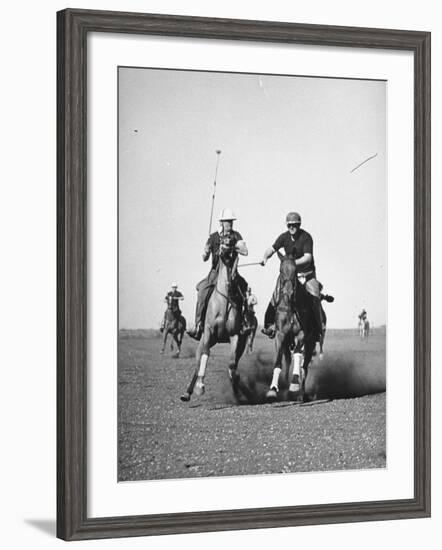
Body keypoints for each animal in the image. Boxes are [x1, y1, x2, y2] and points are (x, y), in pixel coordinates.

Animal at [180, 248, 249, 404]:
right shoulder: (209, 331)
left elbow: (232, 364)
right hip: (205, 340)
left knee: (234, 363)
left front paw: (237, 389)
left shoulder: (235, 335)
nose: (224, 252)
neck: (223, 302)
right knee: (198, 363)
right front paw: (200, 387)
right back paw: (187, 393)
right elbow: (205, 355)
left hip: (240, 344)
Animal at [266, 256, 318, 406]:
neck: (291, 306)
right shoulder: (280, 334)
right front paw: (273, 389)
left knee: (304, 367)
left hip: (311, 343)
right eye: (280, 270)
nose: (288, 293)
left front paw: (294, 385)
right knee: (288, 361)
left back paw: (300, 395)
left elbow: (298, 357)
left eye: (295, 271)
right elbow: (279, 361)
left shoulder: (301, 334)